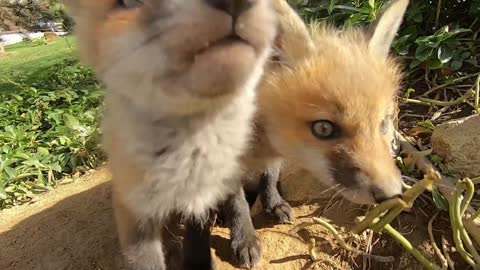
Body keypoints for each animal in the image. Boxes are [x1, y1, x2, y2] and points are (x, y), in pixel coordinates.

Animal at [224, 0, 408, 268]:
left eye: (383, 124)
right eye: (324, 128)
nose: (393, 194)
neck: (261, 141)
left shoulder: (275, 155)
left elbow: (270, 176)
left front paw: (274, 204)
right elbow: (237, 203)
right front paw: (244, 239)